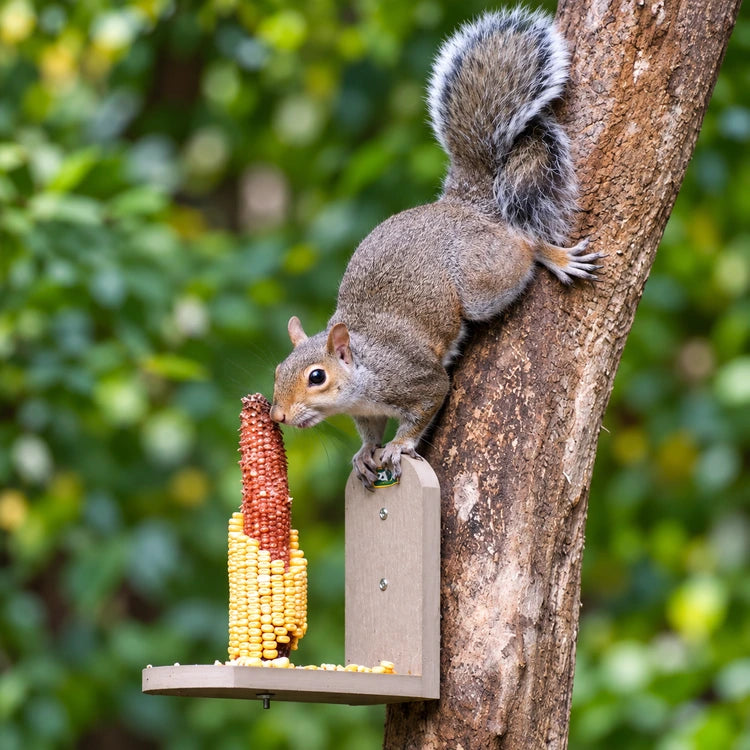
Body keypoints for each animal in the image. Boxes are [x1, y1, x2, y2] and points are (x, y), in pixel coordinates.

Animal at [269, 8, 602, 489]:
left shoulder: (418, 379)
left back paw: (550, 254)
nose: (277, 415)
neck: (364, 370)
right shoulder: (367, 411)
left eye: (317, 377)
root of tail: (465, 207)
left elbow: (427, 405)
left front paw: (398, 446)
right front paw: (364, 454)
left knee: (521, 247)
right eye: (279, 369)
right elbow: (369, 433)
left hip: (482, 278)